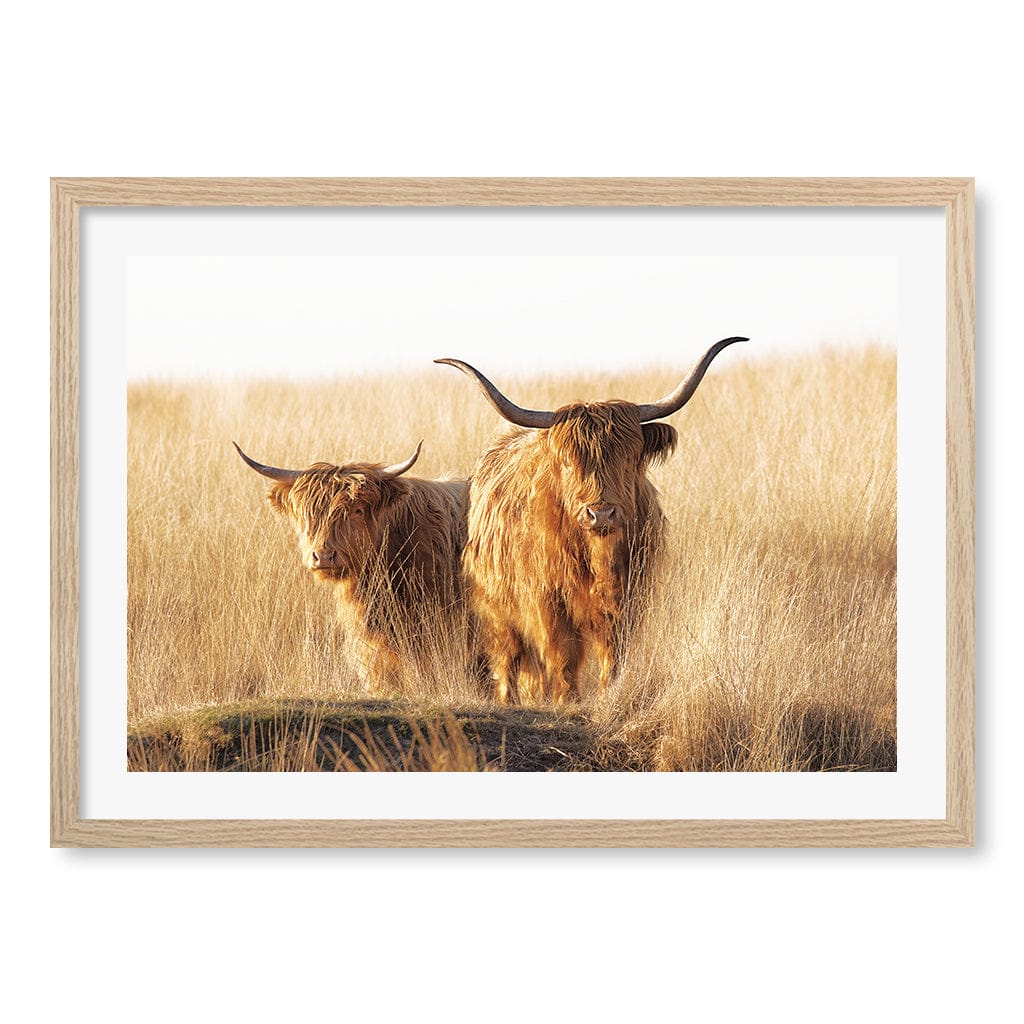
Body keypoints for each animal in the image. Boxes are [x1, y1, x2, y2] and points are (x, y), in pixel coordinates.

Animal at [436, 337, 746, 705]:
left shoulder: (628, 598)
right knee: (507, 658)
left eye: (628, 458)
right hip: (496, 608)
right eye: (568, 462)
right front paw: (567, 699)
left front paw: (606, 693)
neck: (598, 556)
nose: (601, 513)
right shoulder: (547, 602)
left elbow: (612, 651)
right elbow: (562, 653)